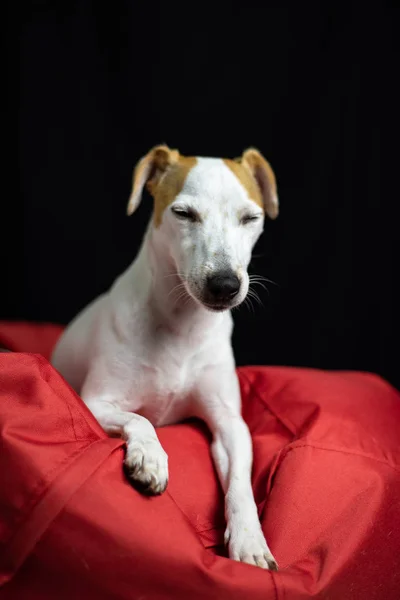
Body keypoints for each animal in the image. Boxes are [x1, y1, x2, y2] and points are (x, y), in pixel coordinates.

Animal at [51, 143, 280, 568]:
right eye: (183, 213)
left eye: (250, 218)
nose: (225, 284)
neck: (181, 327)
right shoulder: (95, 402)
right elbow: (140, 418)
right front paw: (150, 458)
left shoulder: (231, 425)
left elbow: (240, 483)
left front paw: (250, 541)